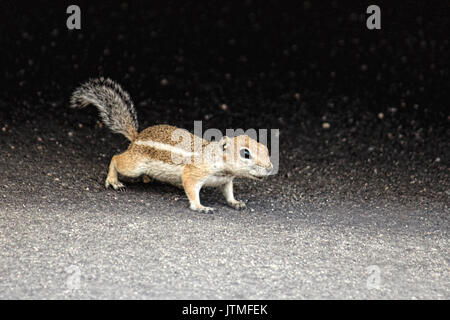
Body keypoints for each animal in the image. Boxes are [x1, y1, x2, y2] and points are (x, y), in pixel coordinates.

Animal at [71, 78, 274, 212]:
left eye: (266, 149)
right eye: (245, 154)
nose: (270, 168)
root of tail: (136, 137)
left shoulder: (226, 180)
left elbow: (228, 192)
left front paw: (235, 202)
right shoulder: (194, 172)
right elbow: (191, 188)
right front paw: (200, 206)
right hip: (134, 165)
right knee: (116, 158)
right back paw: (114, 180)